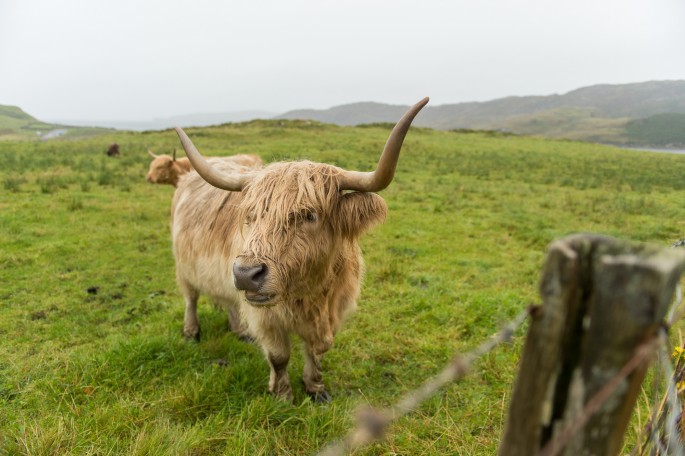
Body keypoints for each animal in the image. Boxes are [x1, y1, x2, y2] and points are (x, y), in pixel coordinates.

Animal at [171, 97, 428, 402]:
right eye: (251, 215)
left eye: (308, 215)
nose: (246, 274)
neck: (308, 293)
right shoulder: (267, 318)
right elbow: (279, 356)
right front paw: (282, 396)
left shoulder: (334, 310)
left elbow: (317, 351)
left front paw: (316, 388)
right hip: (185, 267)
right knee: (190, 298)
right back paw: (191, 332)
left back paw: (240, 331)